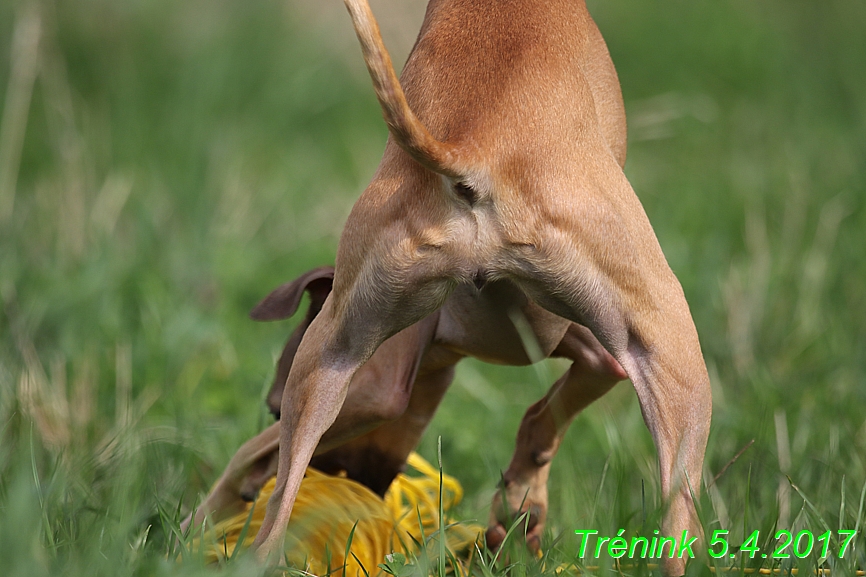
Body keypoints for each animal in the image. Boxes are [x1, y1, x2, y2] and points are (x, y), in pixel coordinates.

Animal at [184, 266, 628, 548]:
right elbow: (552, 410)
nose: (360, 493)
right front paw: (522, 500)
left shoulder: (378, 386)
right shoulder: (599, 349)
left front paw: (191, 529)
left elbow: (249, 454)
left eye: (276, 412)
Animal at [253, 1, 712, 572]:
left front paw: (518, 507)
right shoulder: (610, 348)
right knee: (677, 532)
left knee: (272, 516)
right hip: (677, 359)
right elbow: (547, 414)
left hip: (329, 357)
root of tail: (470, 152)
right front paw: (520, 503)